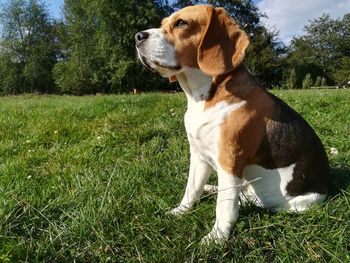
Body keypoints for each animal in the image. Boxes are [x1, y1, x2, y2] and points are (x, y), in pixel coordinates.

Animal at [135, 5, 330, 244]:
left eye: (181, 23)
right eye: (163, 24)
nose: (138, 36)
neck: (202, 97)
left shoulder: (229, 160)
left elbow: (225, 207)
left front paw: (215, 239)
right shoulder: (198, 155)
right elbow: (191, 189)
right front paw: (180, 211)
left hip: (299, 204)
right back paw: (210, 188)